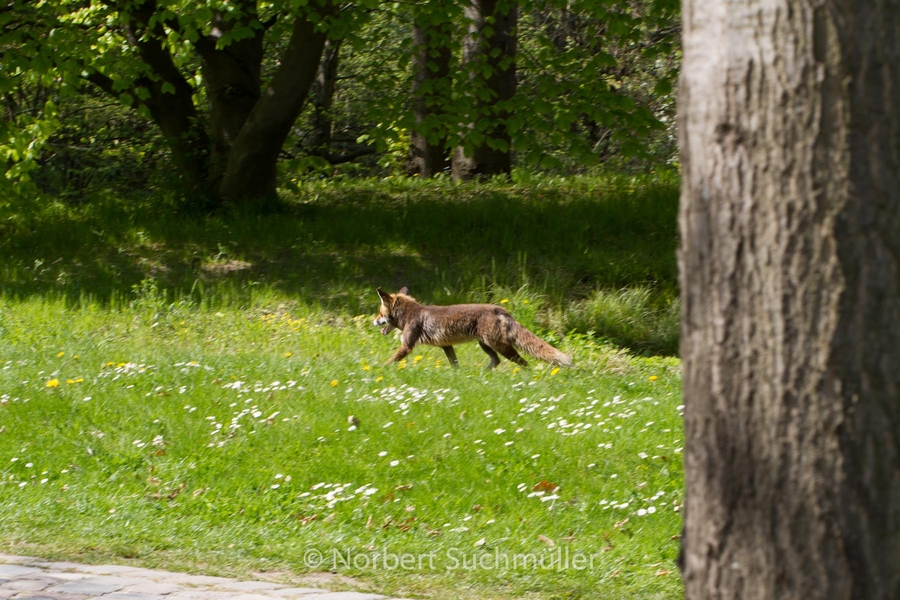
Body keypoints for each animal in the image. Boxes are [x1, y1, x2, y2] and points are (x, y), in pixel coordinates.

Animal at [374, 288, 572, 370]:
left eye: (380, 313)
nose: (373, 321)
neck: (410, 314)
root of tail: (500, 309)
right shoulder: (446, 345)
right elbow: (455, 364)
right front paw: (458, 375)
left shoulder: (407, 346)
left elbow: (390, 361)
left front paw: (379, 369)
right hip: (486, 345)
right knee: (496, 361)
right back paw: (481, 374)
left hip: (500, 346)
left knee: (523, 362)